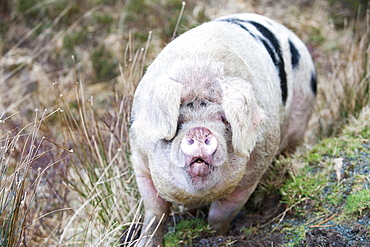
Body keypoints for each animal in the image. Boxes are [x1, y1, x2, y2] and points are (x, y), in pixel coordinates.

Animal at [129, 12, 316, 247]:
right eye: (179, 121)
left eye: (224, 119)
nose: (199, 131)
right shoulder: (139, 159)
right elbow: (155, 211)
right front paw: (146, 243)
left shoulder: (253, 170)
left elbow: (222, 213)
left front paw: (217, 236)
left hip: (301, 117)